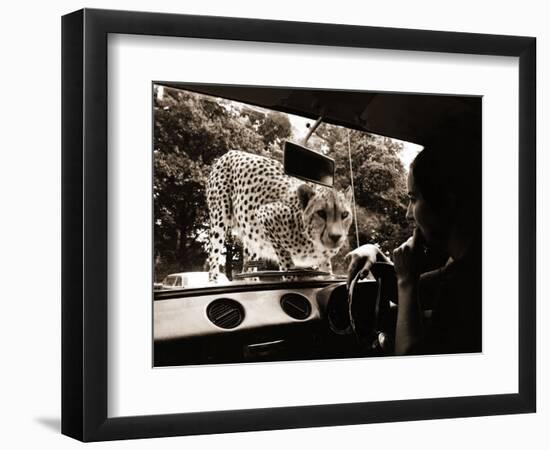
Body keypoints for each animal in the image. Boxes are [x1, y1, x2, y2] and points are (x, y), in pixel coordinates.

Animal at [206, 149, 354, 280]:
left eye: (345, 214)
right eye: (321, 213)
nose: (336, 236)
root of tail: (231, 152)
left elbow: (327, 271)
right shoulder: (266, 213)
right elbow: (286, 262)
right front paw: (290, 278)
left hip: (251, 235)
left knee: (249, 266)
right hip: (220, 220)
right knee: (213, 259)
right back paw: (214, 281)